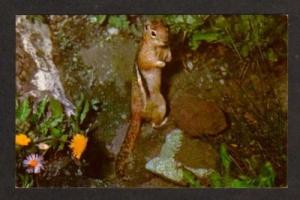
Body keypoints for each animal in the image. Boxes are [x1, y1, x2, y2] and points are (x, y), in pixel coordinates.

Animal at [115, 19, 171, 177]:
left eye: (167, 27)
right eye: (153, 33)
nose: (166, 39)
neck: (157, 47)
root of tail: (136, 114)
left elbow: (169, 56)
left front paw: (168, 57)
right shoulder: (144, 56)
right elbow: (148, 63)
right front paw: (161, 63)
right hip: (161, 104)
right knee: (153, 124)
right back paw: (163, 121)